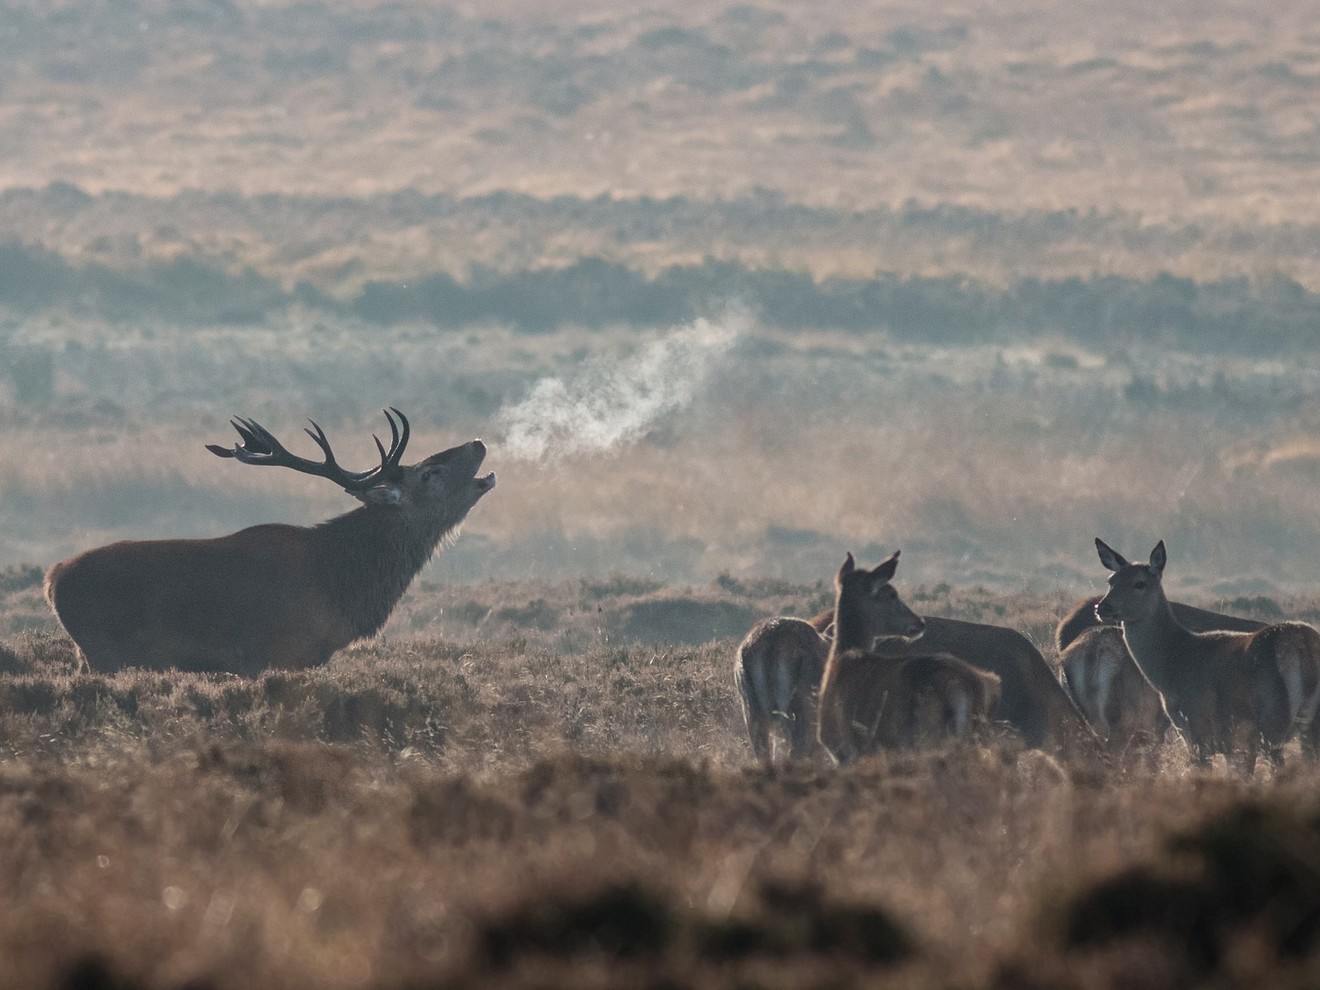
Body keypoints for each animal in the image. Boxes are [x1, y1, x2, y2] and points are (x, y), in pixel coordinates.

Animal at [47, 406, 496, 681]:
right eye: (430, 473)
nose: (478, 442)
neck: (339, 587)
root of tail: (53, 578)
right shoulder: (269, 654)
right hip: (104, 653)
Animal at [813, 559, 997, 765]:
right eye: (892, 594)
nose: (920, 622)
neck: (838, 658)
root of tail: (959, 685)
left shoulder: (842, 751)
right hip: (976, 736)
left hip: (925, 738)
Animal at [1092, 538, 1320, 770]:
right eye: (1111, 580)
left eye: (1140, 583)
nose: (1102, 607)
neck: (1169, 672)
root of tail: (1301, 644)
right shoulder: (1234, 744)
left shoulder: (1196, 731)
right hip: (1308, 727)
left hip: (1273, 720)